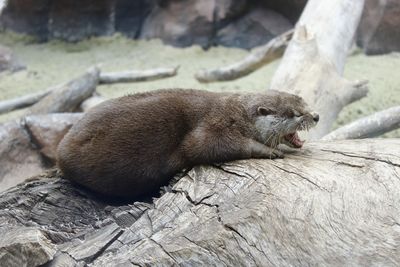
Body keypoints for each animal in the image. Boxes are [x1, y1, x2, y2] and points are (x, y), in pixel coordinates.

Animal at [56, 89, 318, 199]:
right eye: (294, 114)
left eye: (304, 102)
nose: (315, 116)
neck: (238, 114)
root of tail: (60, 150)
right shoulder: (213, 124)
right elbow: (202, 146)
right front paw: (268, 150)